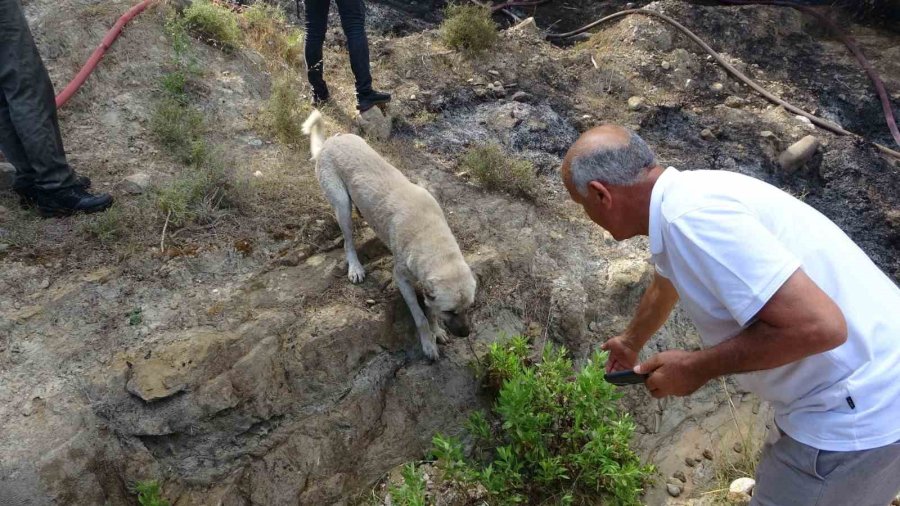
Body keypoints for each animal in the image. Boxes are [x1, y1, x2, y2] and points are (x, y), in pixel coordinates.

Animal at [300, 110, 474, 360]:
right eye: (450, 311)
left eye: (469, 307)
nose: (466, 334)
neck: (430, 238)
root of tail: (330, 142)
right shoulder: (401, 280)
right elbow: (420, 317)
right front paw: (428, 343)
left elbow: (430, 311)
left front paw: (438, 331)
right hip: (341, 205)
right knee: (348, 242)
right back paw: (355, 268)